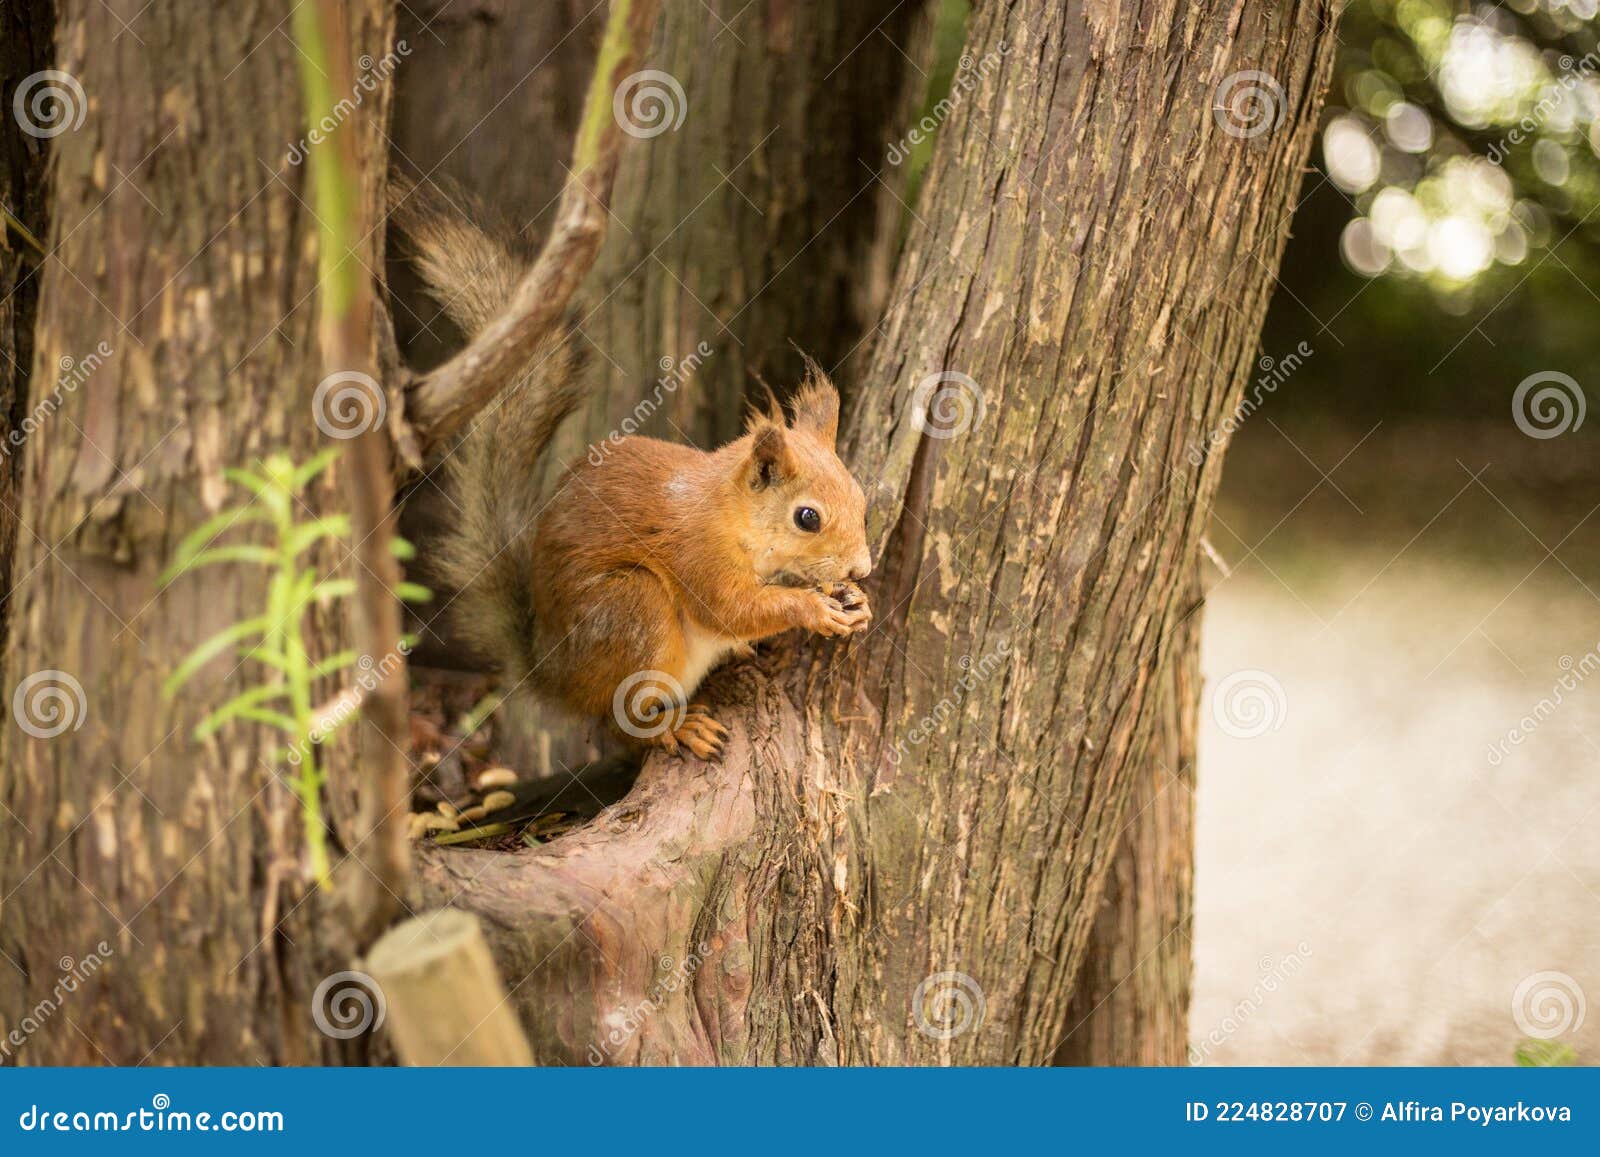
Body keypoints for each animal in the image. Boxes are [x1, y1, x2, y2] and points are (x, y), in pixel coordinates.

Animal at [395, 178, 874, 759]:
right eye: (808, 518)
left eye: (862, 502)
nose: (861, 568)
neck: (732, 517)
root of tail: (554, 676)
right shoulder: (697, 555)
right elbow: (733, 610)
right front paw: (812, 609)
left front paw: (857, 601)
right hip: (632, 612)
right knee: (620, 721)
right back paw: (677, 727)